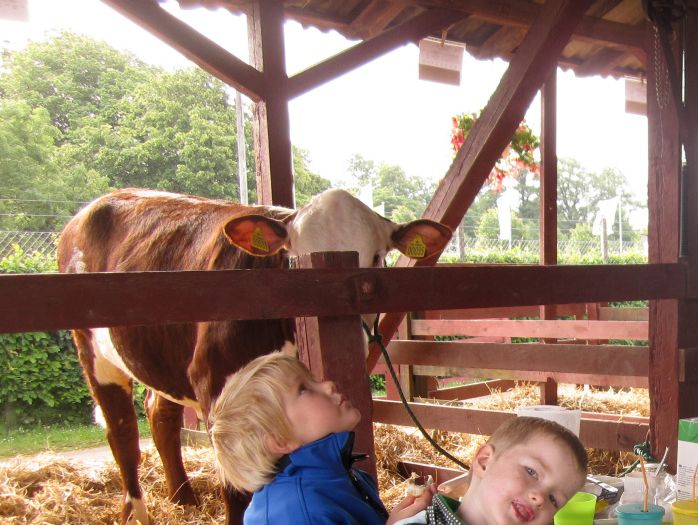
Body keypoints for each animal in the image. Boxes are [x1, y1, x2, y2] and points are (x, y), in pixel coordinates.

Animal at [55, 188, 452, 524]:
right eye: (293, 259)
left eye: (376, 258)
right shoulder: (212, 380)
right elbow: (234, 489)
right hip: (93, 353)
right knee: (122, 432)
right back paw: (137, 512)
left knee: (159, 416)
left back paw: (184, 500)